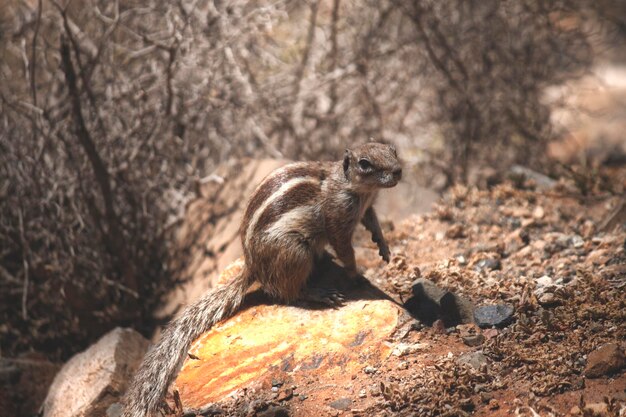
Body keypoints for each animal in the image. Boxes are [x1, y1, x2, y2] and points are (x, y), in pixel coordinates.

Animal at [122, 141, 402, 414]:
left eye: (392, 149)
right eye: (364, 164)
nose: (398, 171)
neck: (358, 189)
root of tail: (252, 266)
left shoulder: (367, 207)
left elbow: (372, 221)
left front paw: (383, 246)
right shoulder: (337, 217)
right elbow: (344, 248)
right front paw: (356, 273)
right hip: (295, 252)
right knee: (288, 292)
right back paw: (319, 293)